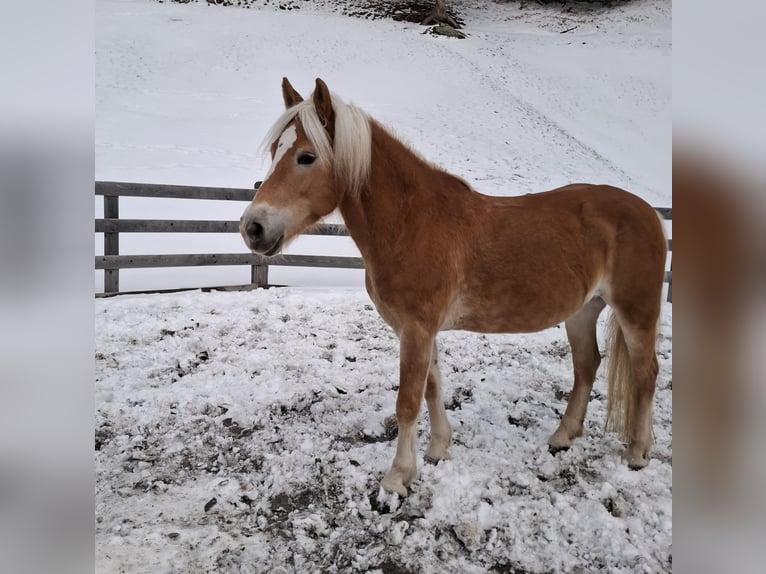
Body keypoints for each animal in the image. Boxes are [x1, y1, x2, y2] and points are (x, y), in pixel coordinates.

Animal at [238, 77, 664, 500]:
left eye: (306, 157)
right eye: (275, 151)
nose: (252, 228)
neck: (413, 223)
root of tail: (649, 213)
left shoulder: (417, 330)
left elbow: (408, 402)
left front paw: (397, 477)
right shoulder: (417, 331)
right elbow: (432, 387)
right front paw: (437, 450)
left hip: (636, 311)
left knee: (646, 373)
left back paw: (637, 453)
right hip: (583, 310)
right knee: (587, 365)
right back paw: (562, 437)